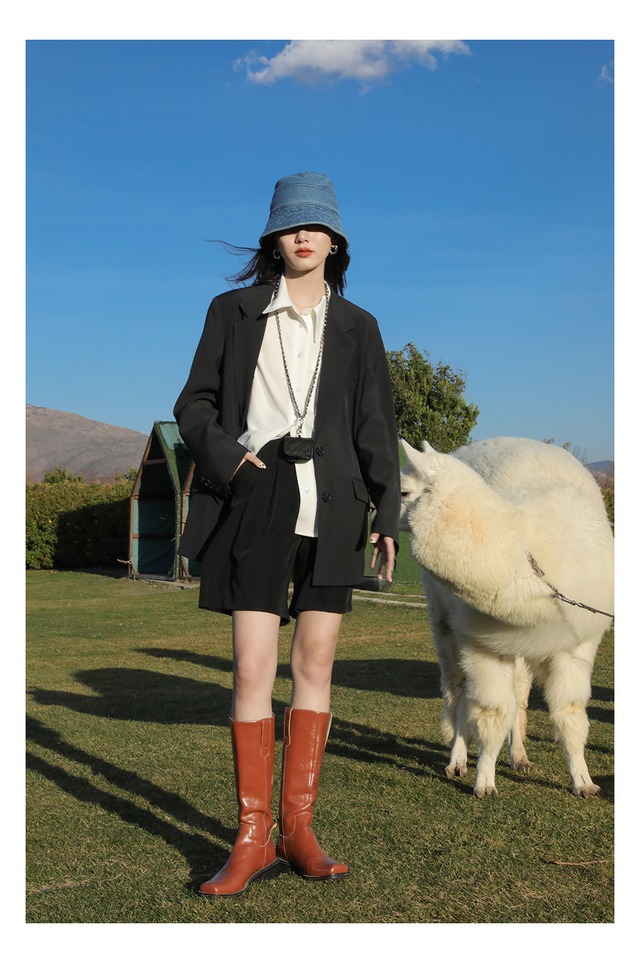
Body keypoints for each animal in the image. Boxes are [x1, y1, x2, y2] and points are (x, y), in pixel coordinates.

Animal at [399, 437, 614, 798]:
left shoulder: (575, 645)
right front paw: (484, 781)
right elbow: (491, 713)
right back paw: (457, 760)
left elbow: (570, 714)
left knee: (520, 694)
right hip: (444, 621)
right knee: (457, 691)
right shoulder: (482, 643)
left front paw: (583, 781)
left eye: (402, 491)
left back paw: (520, 756)